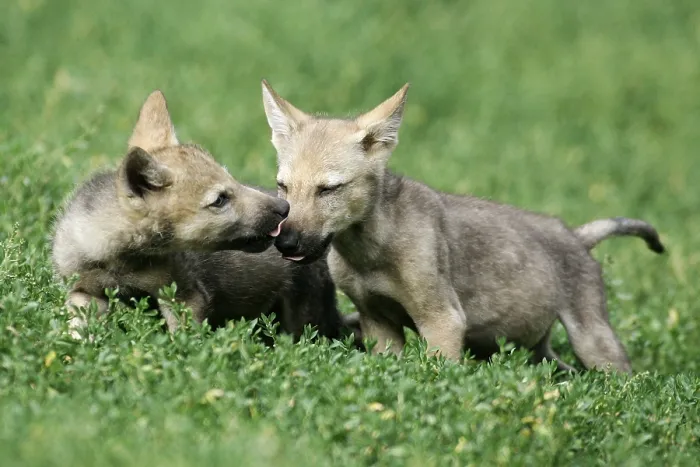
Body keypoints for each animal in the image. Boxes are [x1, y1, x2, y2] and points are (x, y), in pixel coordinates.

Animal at [52, 90, 357, 343]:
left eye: (231, 179)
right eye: (219, 199)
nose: (285, 209)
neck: (122, 263)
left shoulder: (185, 296)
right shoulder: (83, 293)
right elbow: (77, 333)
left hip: (304, 320)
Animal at [260, 80, 665, 373]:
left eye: (329, 189)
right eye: (283, 187)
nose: (285, 243)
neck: (371, 253)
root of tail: (578, 236)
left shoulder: (443, 320)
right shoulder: (377, 321)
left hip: (593, 341)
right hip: (539, 350)